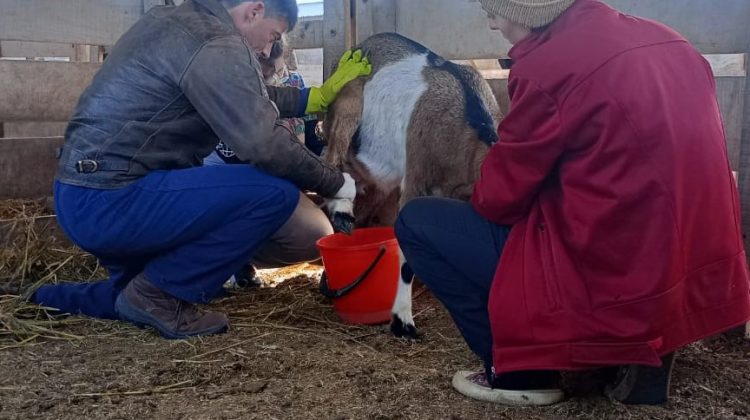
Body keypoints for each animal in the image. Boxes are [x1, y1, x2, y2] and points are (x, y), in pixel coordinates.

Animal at [324, 32, 506, 338]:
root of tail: (360, 45)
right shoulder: (415, 181)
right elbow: (407, 258)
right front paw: (402, 321)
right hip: (345, 108)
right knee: (333, 158)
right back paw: (341, 210)